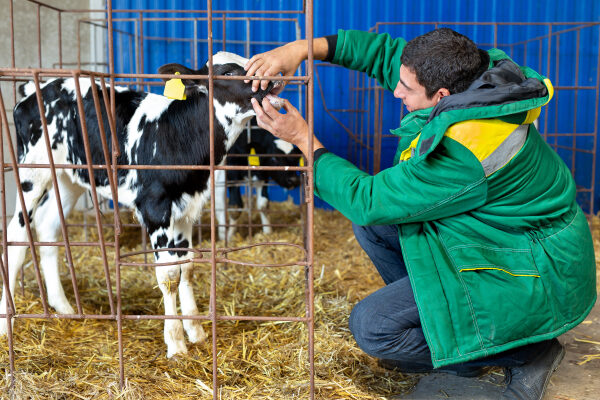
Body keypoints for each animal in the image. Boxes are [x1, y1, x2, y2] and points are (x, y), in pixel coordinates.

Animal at [0, 52, 284, 356]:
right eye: (228, 73)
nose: (274, 77)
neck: (178, 134)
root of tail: (35, 89)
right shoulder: (155, 207)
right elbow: (169, 273)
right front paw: (176, 343)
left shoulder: (187, 208)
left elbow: (188, 266)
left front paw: (196, 331)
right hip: (32, 170)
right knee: (16, 236)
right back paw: (6, 324)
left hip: (69, 177)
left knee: (48, 227)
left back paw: (64, 307)